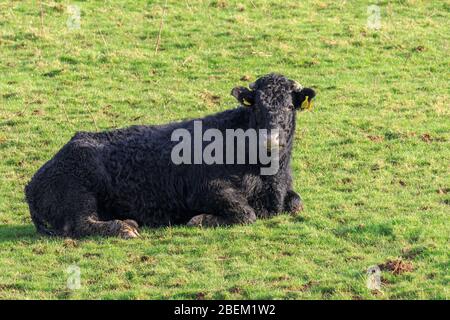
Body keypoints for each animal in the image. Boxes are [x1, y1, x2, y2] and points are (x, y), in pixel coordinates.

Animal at [25, 72, 316, 238]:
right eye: (256, 107)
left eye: (290, 106)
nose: (270, 139)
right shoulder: (206, 188)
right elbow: (246, 213)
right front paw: (201, 220)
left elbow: (296, 203)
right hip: (79, 193)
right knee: (78, 225)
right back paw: (125, 228)